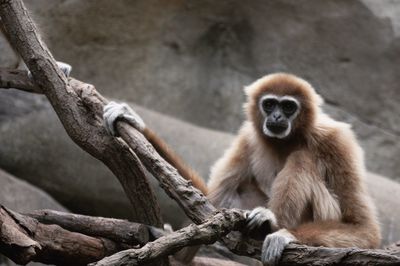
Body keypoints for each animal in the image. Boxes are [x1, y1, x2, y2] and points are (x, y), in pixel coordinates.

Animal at [103, 72, 382, 264]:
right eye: (269, 104)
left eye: (288, 106)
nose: (277, 117)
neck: (289, 139)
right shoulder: (247, 137)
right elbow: (208, 200)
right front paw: (136, 124)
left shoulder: (336, 140)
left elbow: (364, 228)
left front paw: (286, 235)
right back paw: (181, 256)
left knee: (302, 159)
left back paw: (270, 225)